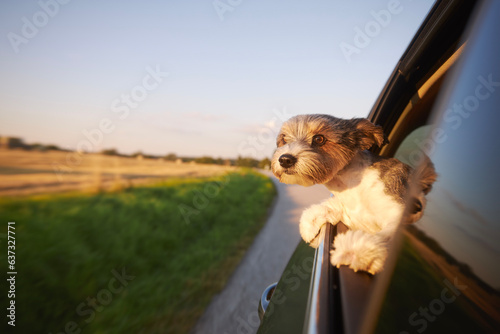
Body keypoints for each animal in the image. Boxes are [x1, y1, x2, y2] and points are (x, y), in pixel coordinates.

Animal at [272, 114, 436, 274]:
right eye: (284, 139)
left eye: (319, 139)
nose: (285, 159)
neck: (353, 182)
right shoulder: (350, 213)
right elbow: (326, 209)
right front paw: (309, 225)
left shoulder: (395, 209)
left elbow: (389, 233)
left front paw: (359, 251)